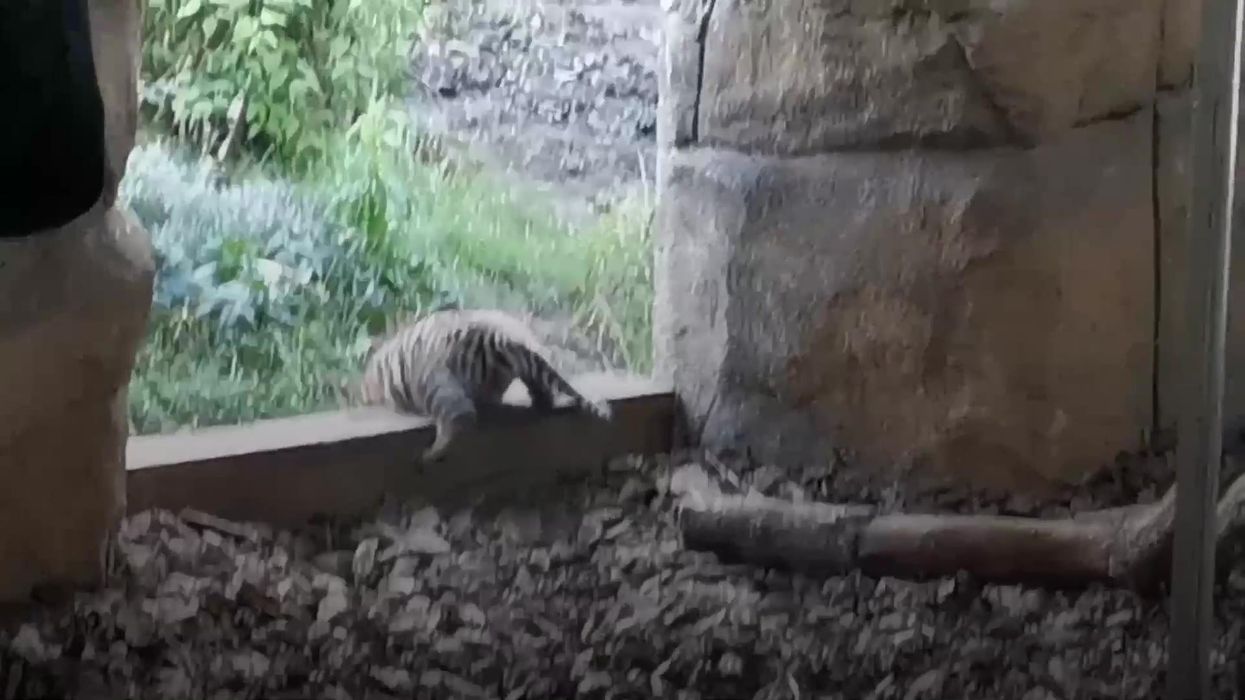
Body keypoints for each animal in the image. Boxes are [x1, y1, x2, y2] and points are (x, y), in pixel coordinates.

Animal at [353, 308, 613, 463]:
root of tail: (501, 334)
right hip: (529, 361)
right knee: (542, 390)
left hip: (435, 381)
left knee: (460, 417)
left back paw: (430, 454)